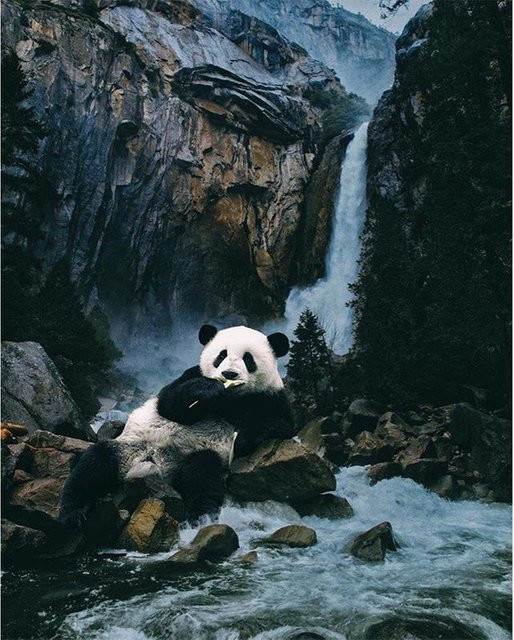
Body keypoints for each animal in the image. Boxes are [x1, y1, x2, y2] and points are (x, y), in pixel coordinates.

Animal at [59, 324, 295, 525]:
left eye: (248, 359)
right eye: (221, 355)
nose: (229, 374)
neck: (230, 398)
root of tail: (156, 465)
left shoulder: (269, 397)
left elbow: (280, 425)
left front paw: (242, 438)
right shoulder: (190, 374)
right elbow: (169, 404)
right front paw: (207, 389)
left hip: (195, 454)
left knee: (202, 476)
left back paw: (200, 517)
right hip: (129, 447)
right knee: (94, 465)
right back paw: (73, 512)